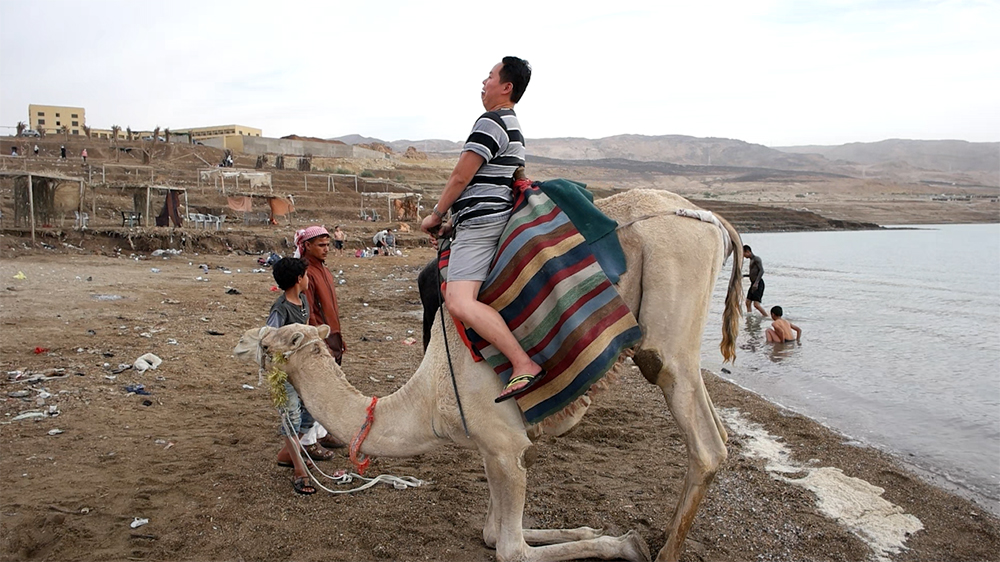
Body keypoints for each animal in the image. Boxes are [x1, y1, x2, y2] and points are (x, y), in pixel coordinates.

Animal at [234, 189, 740, 560]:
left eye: (276, 339)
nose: (245, 342)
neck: (428, 398)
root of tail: (712, 220)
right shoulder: (491, 445)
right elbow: (492, 533)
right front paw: (585, 528)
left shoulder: (505, 445)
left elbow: (510, 549)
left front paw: (627, 543)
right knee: (717, 435)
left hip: (669, 327)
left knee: (703, 441)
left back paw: (664, 551)